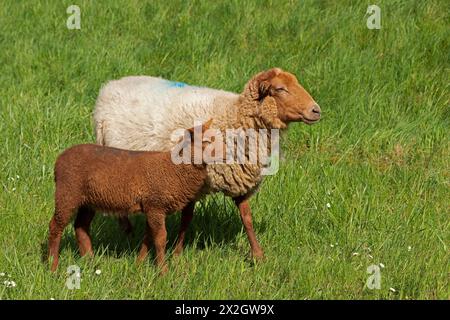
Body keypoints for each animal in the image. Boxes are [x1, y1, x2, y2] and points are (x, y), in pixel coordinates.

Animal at [48, 120, 214, 272]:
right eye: (205, 142)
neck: (174, 168)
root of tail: (59, 160)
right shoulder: (155, 205)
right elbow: (160, 239)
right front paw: (163, 271)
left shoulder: (152, 208)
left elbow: (148, 237)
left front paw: (139, 264)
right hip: (67, 193)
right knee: (55, 226)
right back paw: (53, 266)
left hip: (88, 201)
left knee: (81, 226)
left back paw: (90, 261)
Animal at [94, 67, 320, 260]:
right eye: (280, 89)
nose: (316, 110)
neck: (233, 116)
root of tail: (109, 87)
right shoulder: (191, 179)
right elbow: (187, 217)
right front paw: (177, 253)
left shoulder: (238, 176)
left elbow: (246, 217)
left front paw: (258, 255)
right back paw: (127, 230)